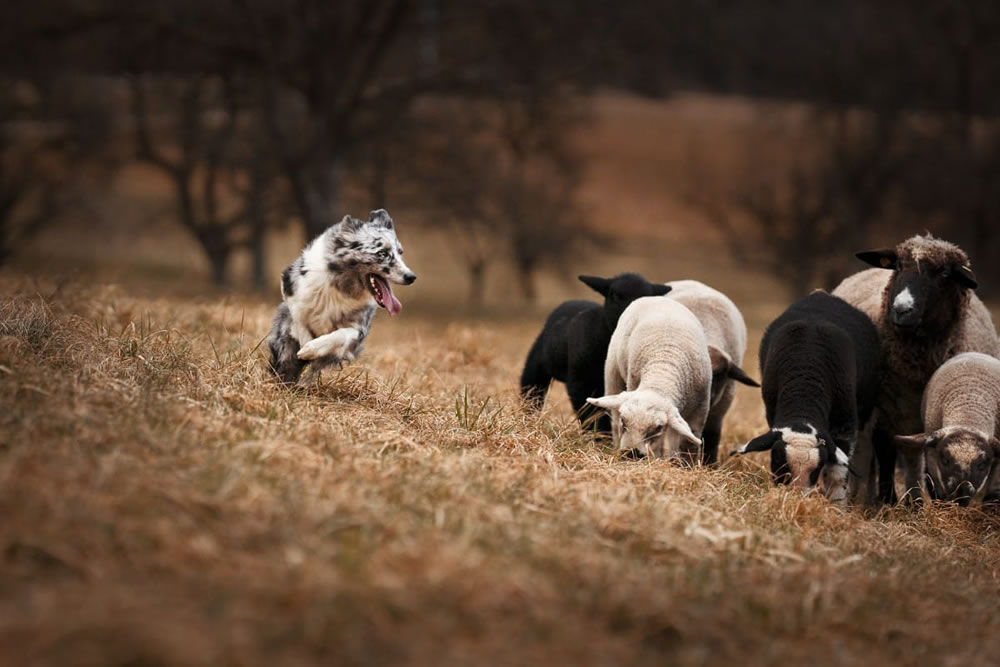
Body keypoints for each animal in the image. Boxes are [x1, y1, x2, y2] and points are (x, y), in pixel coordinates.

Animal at [524, 272, 672, 434]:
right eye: (615, 295)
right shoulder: (581, 381)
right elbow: (590, 411)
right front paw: (597, 435)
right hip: (537, 363)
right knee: (531, 388)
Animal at [584, 298, 712, 464]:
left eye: (658, 428)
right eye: (624, 421)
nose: (630, 453)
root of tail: (656, 298)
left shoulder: (700, 410)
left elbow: (689, 443)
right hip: (613, 374)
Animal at [732, 290, 880, 504]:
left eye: (815, 470)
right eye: (778, 463)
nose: (795, 498)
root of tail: (821, 294)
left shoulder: (845, 425)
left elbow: (838, 474)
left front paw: (837, 506)